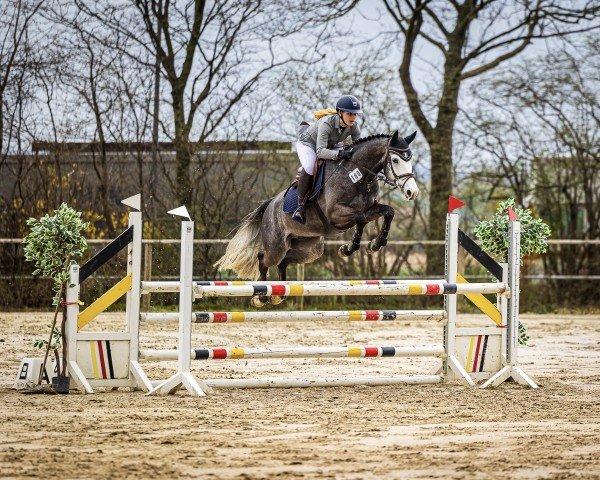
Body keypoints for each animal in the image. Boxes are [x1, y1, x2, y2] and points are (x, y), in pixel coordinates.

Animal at [216, 129, 418, 306]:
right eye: (395, 160)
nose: (412, 192)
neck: (357, 174)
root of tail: (270, 204)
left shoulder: (370, 208)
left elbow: (388, 212)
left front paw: (374, 245)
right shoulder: (336, 214)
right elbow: (360, 218)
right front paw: (349, 248)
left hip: (310, 249)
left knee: (284, 261)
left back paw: (278, 294)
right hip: (276, 246)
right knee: (264, 258)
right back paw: (261, 297)